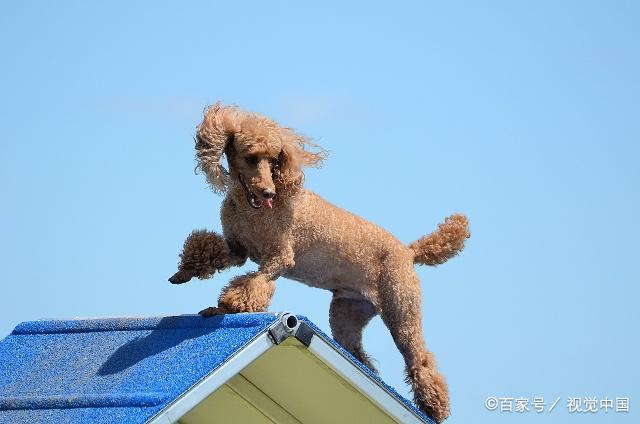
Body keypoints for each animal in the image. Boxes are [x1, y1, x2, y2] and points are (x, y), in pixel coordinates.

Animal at [170, 102, 470, 420]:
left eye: (274, 160)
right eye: (250, 157)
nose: (268, 192)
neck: (252, 208)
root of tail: (409, 251)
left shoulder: (280, 255)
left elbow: (253, 284)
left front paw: (228, 304)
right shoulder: (237, 249)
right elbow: (206, 249)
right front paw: (184, 275)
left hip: (401, 307)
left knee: (420, 359)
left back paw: (434, 407)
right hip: (346, 312)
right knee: (360, 356)